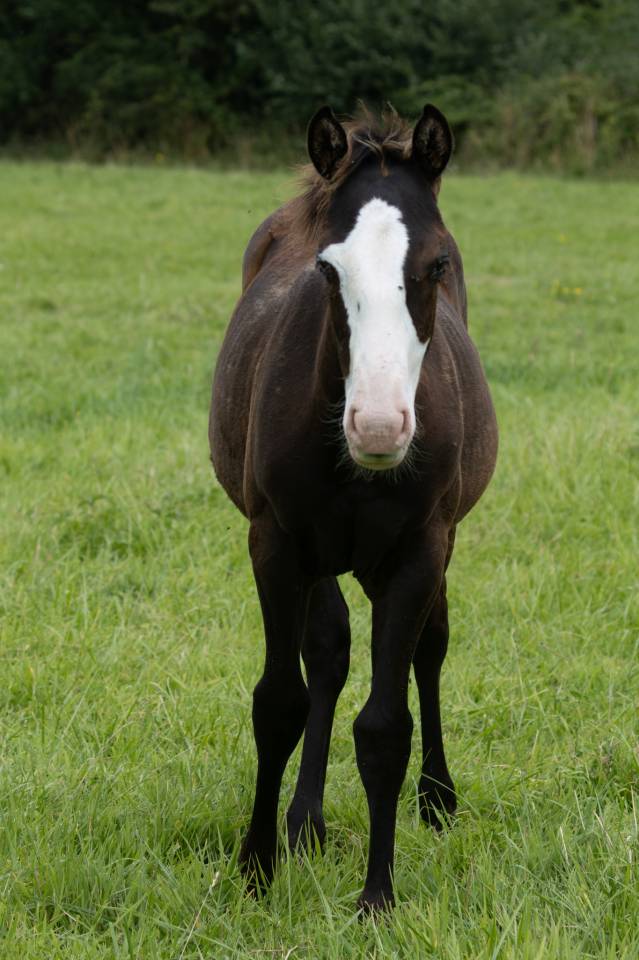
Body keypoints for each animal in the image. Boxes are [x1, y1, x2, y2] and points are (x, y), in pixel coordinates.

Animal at [209, 104, 498, 912]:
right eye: (327, 269)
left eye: (436, 265)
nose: (376, 427)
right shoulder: (275, 544)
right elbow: (280, 700)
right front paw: (256, 866)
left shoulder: (417, 553)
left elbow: (385, 727)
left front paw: (377, 898)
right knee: (329, 651)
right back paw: (303, 821)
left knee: (429, 647)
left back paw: (436, 798)